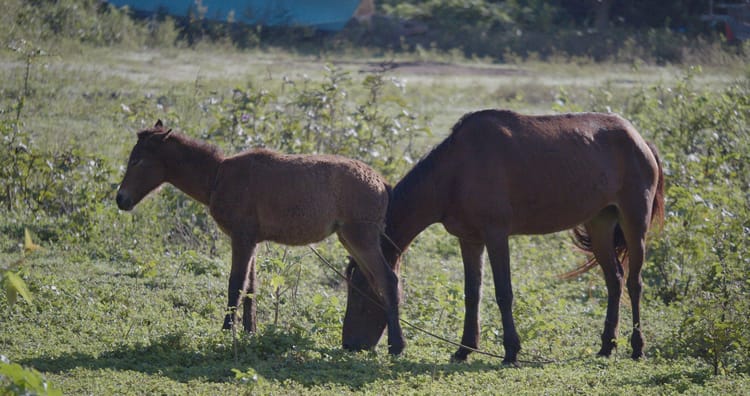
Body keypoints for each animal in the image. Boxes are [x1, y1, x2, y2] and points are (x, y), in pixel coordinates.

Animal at [118, 120, 408, 356]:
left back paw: (397, 346)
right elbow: (251, 287)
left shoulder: (241, 238)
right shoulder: (252, 242)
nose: (121, 199)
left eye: (138, 160)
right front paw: (250, 332)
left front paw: (226, 332)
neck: (218, 175)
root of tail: (381, 182)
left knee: (387, 279)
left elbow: (235, 284)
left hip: (361, 239)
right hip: (351, 240)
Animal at [340, 109, 664, 366]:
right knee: (614, 280)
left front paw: (510, 351)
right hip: (599, 224)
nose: (349, 344)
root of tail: (640, 140)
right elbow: (473, 294)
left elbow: (503, 292)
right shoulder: (469, 240)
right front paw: (464, 349)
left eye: (360, 293)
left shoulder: (496, 235)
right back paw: (606, 346)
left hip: (634, 222)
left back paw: (637, 347)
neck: (455, 170)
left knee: (634, 283)